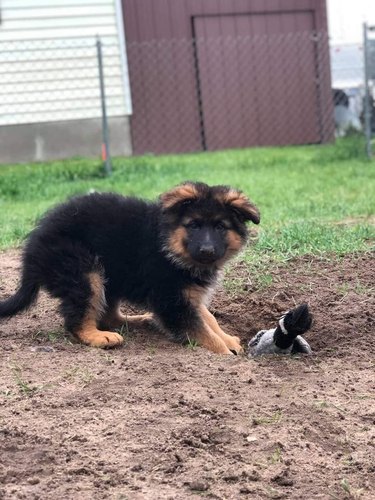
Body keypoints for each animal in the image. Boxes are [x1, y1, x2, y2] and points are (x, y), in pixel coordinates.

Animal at [0, 182, 260, 354]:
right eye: (194, 225)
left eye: (220, 227)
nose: (207, 250)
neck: (168, 244)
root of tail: (32, 251)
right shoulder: (171, 299)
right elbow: (200, 329)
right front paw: (224, 352)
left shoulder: (185, 296)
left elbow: (208, 320)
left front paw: (227, 339)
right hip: (83, 271)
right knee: (77, 318)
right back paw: (97, 336)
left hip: (111, 275)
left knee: (109, 315)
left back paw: (139, 320)